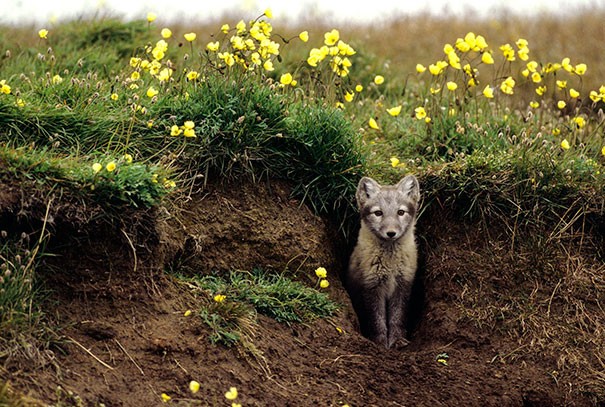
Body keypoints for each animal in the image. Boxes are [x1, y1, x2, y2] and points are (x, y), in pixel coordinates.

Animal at [344, 175, 420, 348]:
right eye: (378, 213)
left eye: (401, 212)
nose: (391, 233)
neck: (390, 265)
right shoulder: (371, 286)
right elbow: (376, 320)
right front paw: (379, 342)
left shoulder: (403, 285)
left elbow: (397, 317)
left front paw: (397, 340)